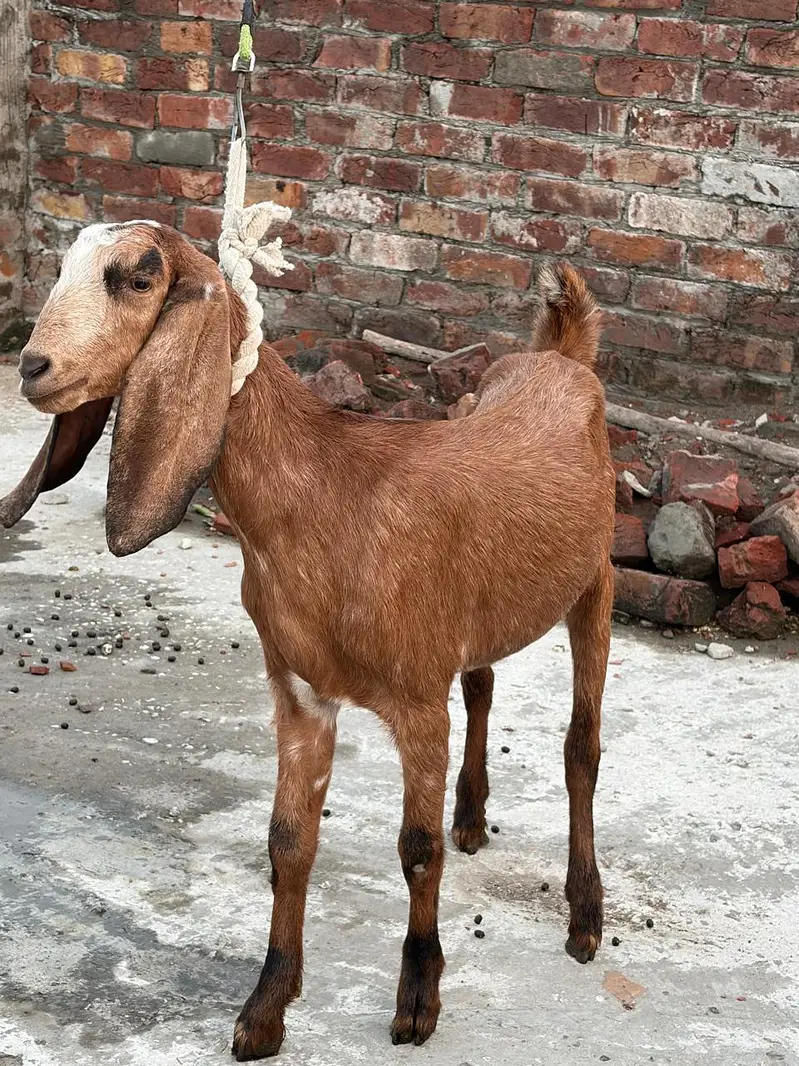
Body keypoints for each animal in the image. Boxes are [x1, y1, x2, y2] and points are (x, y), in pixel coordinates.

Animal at [1, 221, 615, 1062]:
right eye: (64, 266)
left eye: (137, 277)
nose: (33, 367)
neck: (326, 495)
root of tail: (562, 356)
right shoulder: (299, 690)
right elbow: (287, 841)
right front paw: (265, 1008)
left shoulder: (416, 702)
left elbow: (414, 848)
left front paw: (417, 997)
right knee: (484, 682)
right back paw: (472, 815)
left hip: (596, 583)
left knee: (580, 747)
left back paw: (583, 916)